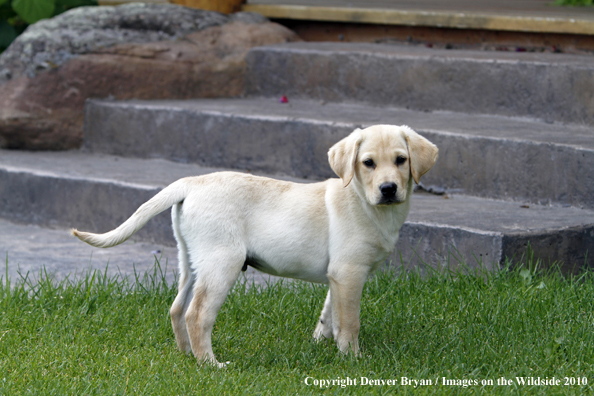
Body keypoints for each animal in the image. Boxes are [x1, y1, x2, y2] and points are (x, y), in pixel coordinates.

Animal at [73, 125, 434, 366]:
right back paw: (211, 365)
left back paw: (188, 355)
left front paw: (320, 344)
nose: (389, 189)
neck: (362, 200)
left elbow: (329, 314)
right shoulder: (349, 272)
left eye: (401, 160)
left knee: (176, 309)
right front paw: (353, 358)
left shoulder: (338, 276)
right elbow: (349, 322)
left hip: (190, 261)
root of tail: (192, 182)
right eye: (368, 163)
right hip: (222, 262)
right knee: (197, 314)